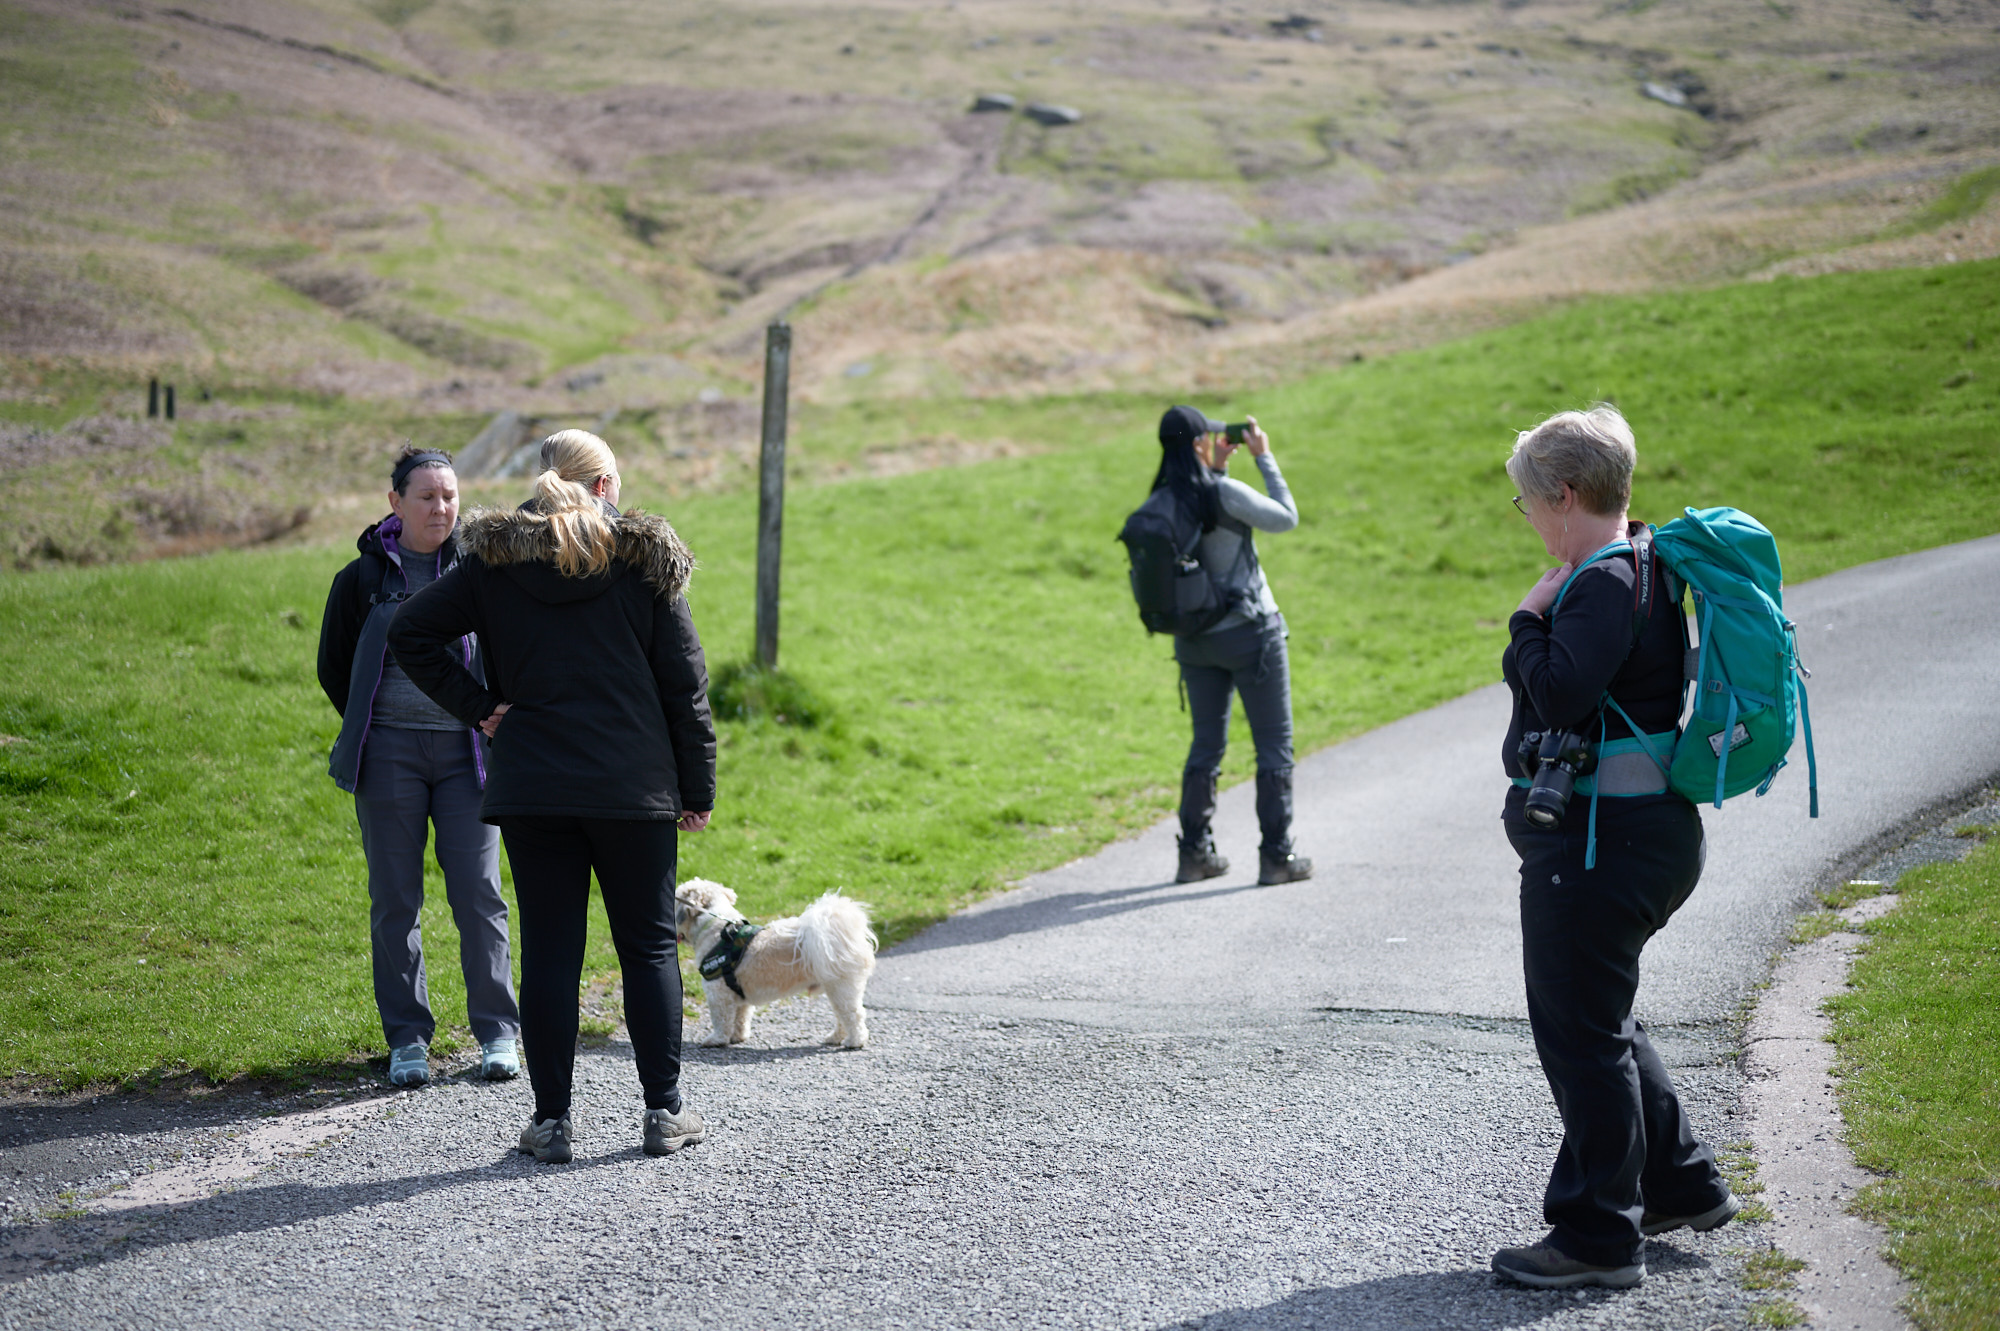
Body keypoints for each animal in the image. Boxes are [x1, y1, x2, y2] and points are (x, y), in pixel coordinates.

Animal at [672, 879, 876, 1047]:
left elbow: (721, 1021)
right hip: (835, 989)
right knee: (842, 1016)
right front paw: (738, 1037)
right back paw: (835, 1038)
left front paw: (716, 1040)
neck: (717, 929)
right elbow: (741, 1018)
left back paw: (854, 1041)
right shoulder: (738, 995)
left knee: (853, 1015)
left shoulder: (718, 994)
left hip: (842, 987)